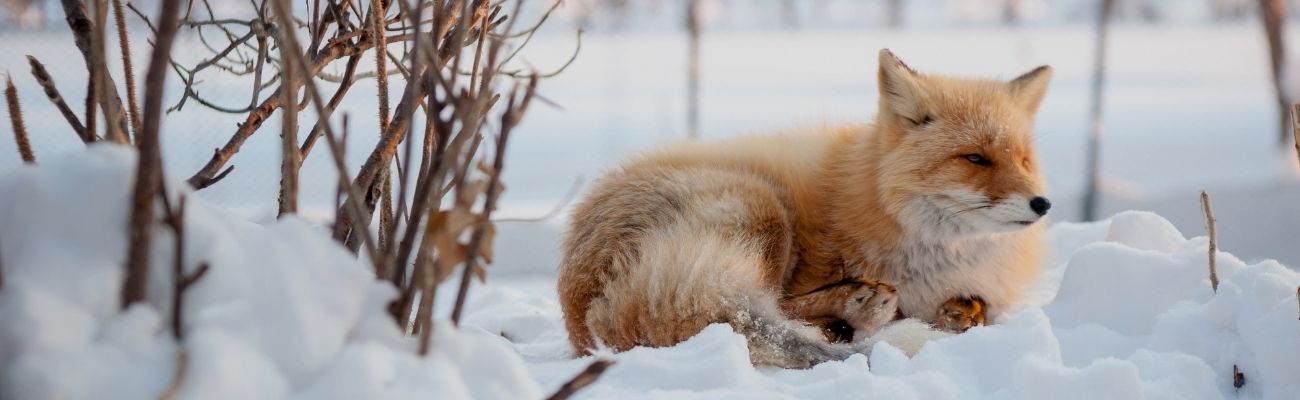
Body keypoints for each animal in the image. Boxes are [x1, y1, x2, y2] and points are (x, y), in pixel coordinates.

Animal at [557, 49, 1052, 368]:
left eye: (1024, 160)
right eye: (976, 159)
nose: (1042, 203)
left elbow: (977, 308)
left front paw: (964, 311)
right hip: (763, 208)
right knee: (757, 306)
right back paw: (853, 311)